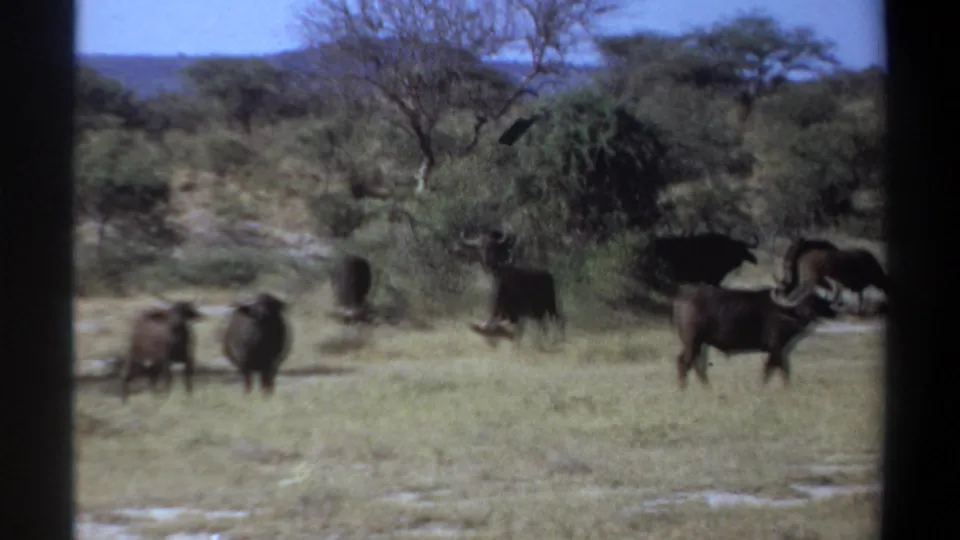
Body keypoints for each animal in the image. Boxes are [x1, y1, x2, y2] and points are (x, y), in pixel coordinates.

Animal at [672, 277, 845, 390]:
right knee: (684, 362)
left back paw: (706, 387)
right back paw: (684, 389)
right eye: (802, 300)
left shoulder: (779, 350)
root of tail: (682, 296)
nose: (807, 314)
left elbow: (776, 369)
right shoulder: (776, 348)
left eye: (815, 300)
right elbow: (775, 369)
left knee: (694, 363)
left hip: (696, 342)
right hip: (693, 341)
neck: (786, 312)